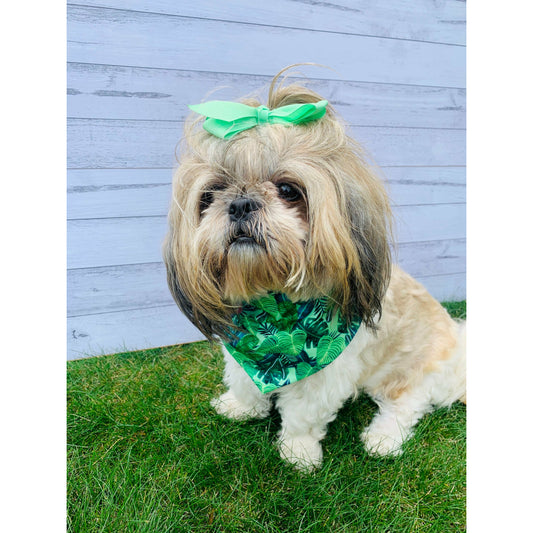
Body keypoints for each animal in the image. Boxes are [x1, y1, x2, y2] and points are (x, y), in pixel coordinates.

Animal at [163, 66, 466, 470]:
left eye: (288, 190)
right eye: (210, 194)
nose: (240, 204)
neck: (274, 308)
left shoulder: (325, 374)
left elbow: (303, 415)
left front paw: (298, 452)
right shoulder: (242, 351)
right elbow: (244, 383)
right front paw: (241, 407)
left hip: (416, 369)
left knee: (407, 403)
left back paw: (383, 438)